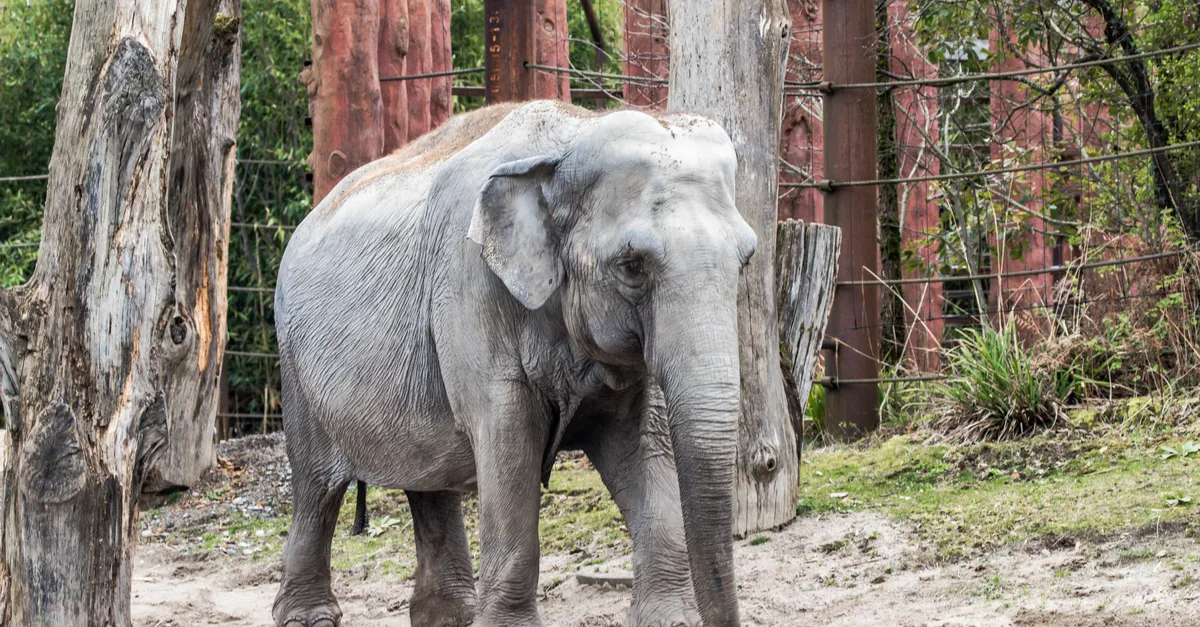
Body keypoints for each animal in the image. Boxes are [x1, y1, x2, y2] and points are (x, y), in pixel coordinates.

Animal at [272, 100, 756, 627]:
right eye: (632, 266)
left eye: (746, 260)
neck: (571, 136)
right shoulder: (470, 287)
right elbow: (507, 440)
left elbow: (643, 445)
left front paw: (670, 620)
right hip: (295, 364)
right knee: (316, 484)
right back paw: (309, 617)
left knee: (428, 477)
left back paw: (449, 617)